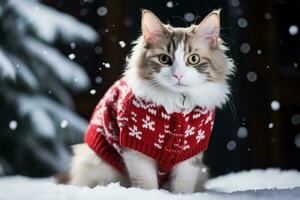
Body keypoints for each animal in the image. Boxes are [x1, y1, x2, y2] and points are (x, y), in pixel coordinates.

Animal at [69, 8, 236, 193]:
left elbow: (182, 186)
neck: (177, 104)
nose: (178, 75)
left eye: (194, 59)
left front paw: (179, 196)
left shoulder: (189, 155)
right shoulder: (136, 149)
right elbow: (147, 185)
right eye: (164, 59)